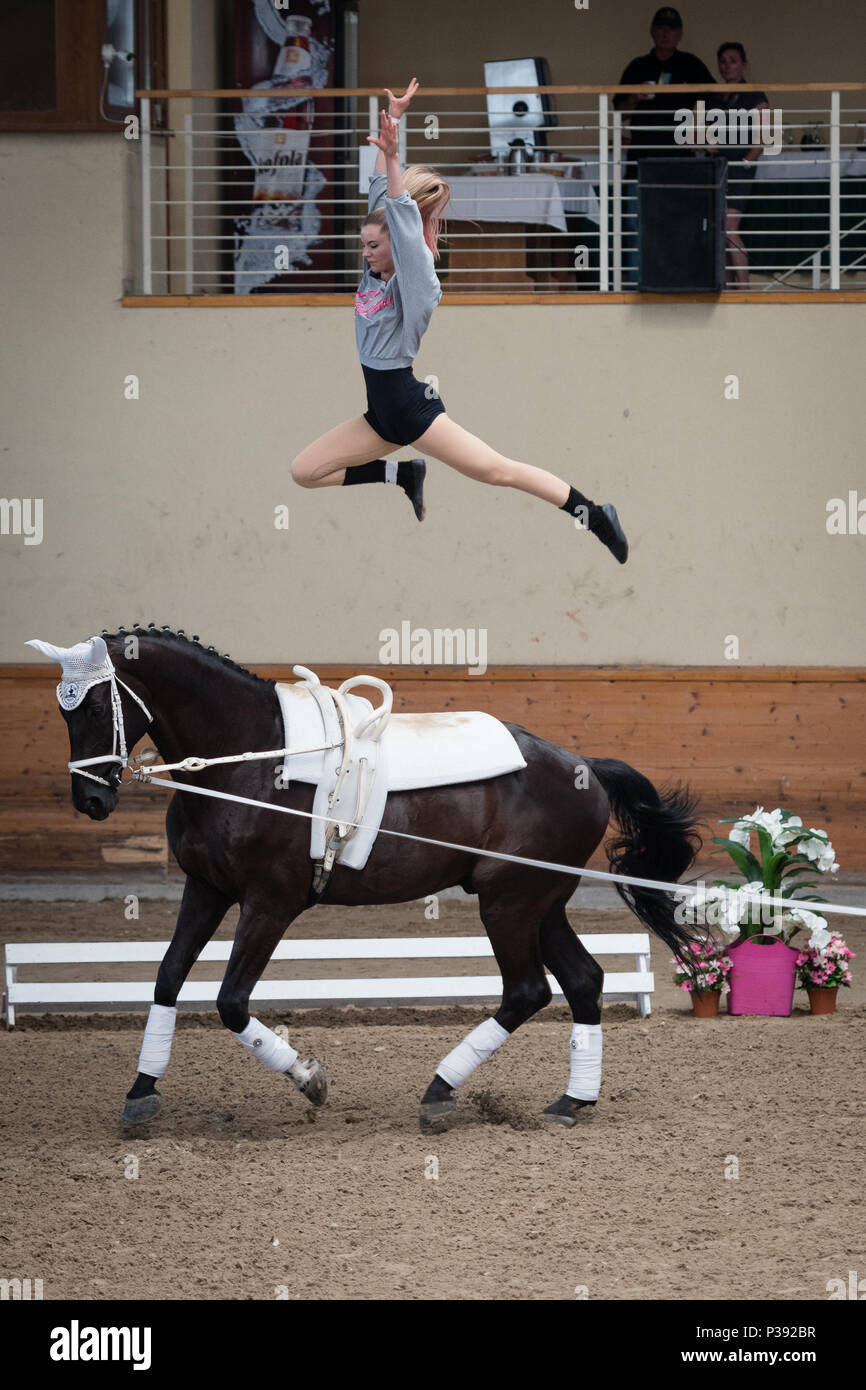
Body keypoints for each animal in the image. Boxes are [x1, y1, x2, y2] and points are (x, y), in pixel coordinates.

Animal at [48, 631, 706, 1128]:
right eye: (62, 709)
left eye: (94, 705)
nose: (90, 801)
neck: (250, 758)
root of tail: (585, 766)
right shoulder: (206, 890)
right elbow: (166, 978)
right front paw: (141, 1093)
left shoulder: (270, 903)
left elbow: (231, 1002)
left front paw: (310, 1080)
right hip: (538, 903)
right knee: (583, 981)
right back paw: (571, 1102)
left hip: (508, 902)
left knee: (527, 991)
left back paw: (440, 1093)